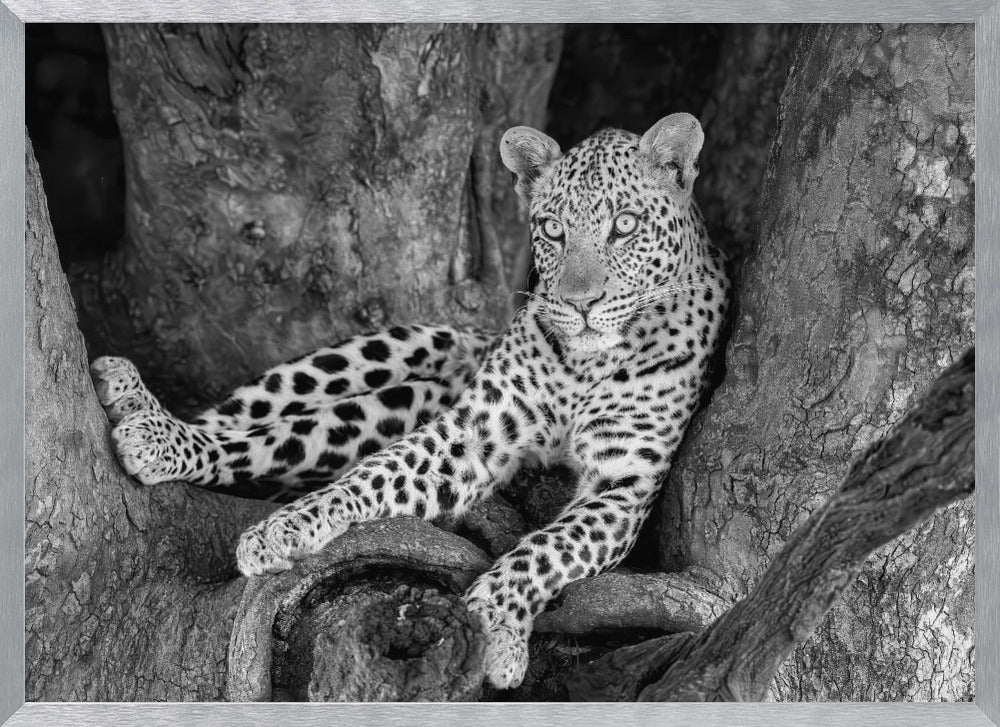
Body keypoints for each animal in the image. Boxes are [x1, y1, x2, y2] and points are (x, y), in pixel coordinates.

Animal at [91, 112, 729, 690]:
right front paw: (287, 528)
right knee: (241, 427)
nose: (578, 304)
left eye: (625, 225)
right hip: (380, 356)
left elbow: (548, 548)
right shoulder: (471, 432)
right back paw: (144, 415)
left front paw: (491, 626)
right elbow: (373, 475)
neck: (586, 363)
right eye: (551, 228)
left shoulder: (626, 482)